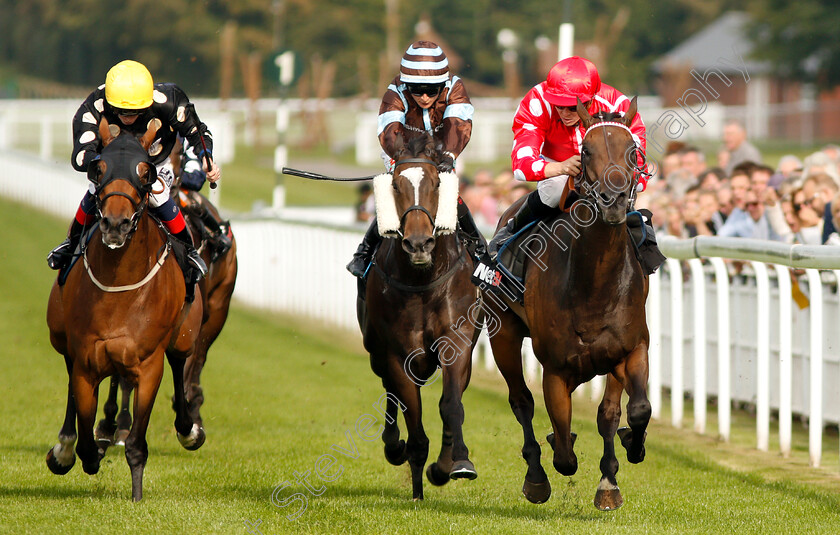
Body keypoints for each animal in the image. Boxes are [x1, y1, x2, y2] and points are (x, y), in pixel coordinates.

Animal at [46, 118, 205, 502]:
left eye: (145, 172)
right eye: (98, 168)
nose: (115, 224)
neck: (118, 287)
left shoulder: (148, 365)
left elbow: (136, 443)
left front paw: (136, 494)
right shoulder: (87, 360)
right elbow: (85, 428)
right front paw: (83, 452)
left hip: (183, 336)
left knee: (179, 364)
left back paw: (187, 429)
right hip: (61, 336)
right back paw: (66, 447)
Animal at [356, 134, 486, 502]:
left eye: (435, 183)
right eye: (396, 185)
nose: (418, 244)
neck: (422, 280)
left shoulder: (457, 342)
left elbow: (451, 403)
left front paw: (453, 463)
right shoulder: (398, 353)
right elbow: (410, 411)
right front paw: (413, 463)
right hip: (375, 350)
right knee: (390, 391)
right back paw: (395, 448)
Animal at [488, 98, 652, 512]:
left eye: (633, 150)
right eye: (586, 150)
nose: (613, 201)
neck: (593, 286)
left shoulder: (630, 349)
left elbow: (630, 411)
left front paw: (624, 459)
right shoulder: (556, 369)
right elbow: (563, 449)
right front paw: (554, 457)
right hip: (502, 334)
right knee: (521, 401)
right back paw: (535, 477)